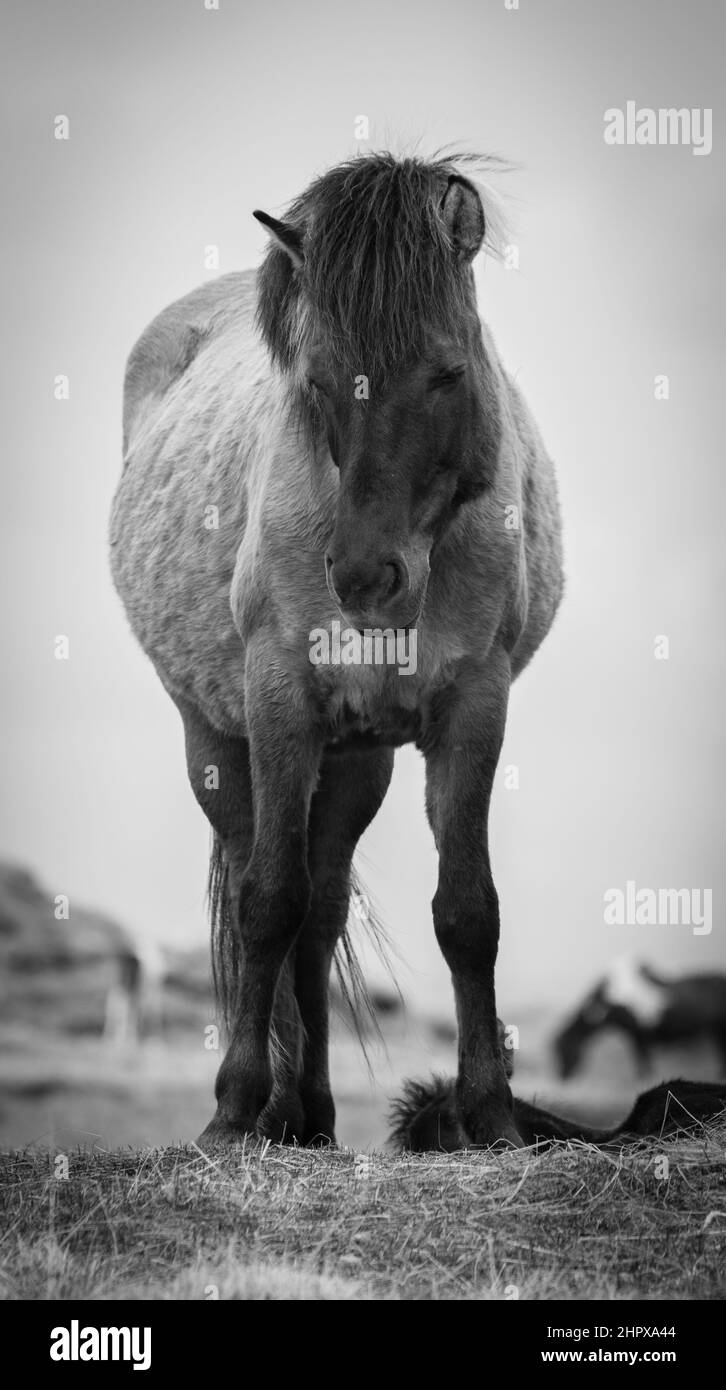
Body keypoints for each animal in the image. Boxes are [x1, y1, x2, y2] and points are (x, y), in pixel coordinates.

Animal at [107, 154, 561, 1150]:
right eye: (317, 381)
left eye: (448, 372)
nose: (361, 575)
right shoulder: (281, 699)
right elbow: (264, 901)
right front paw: (233, 1113)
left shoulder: (473, 707)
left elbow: (467, 912)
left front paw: (490, 1116)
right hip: (219, 738)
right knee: (267, 886)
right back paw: (272, 1108)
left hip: (357, 760)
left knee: (320, 914)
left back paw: (309, 1113)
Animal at [550, 961, 723, 1078]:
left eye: (565, 1048)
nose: (562, 1078)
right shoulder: (634, 1035)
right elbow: (640, 1059)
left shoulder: (640, 1034)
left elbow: (642, 1060)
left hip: (718, 1029)